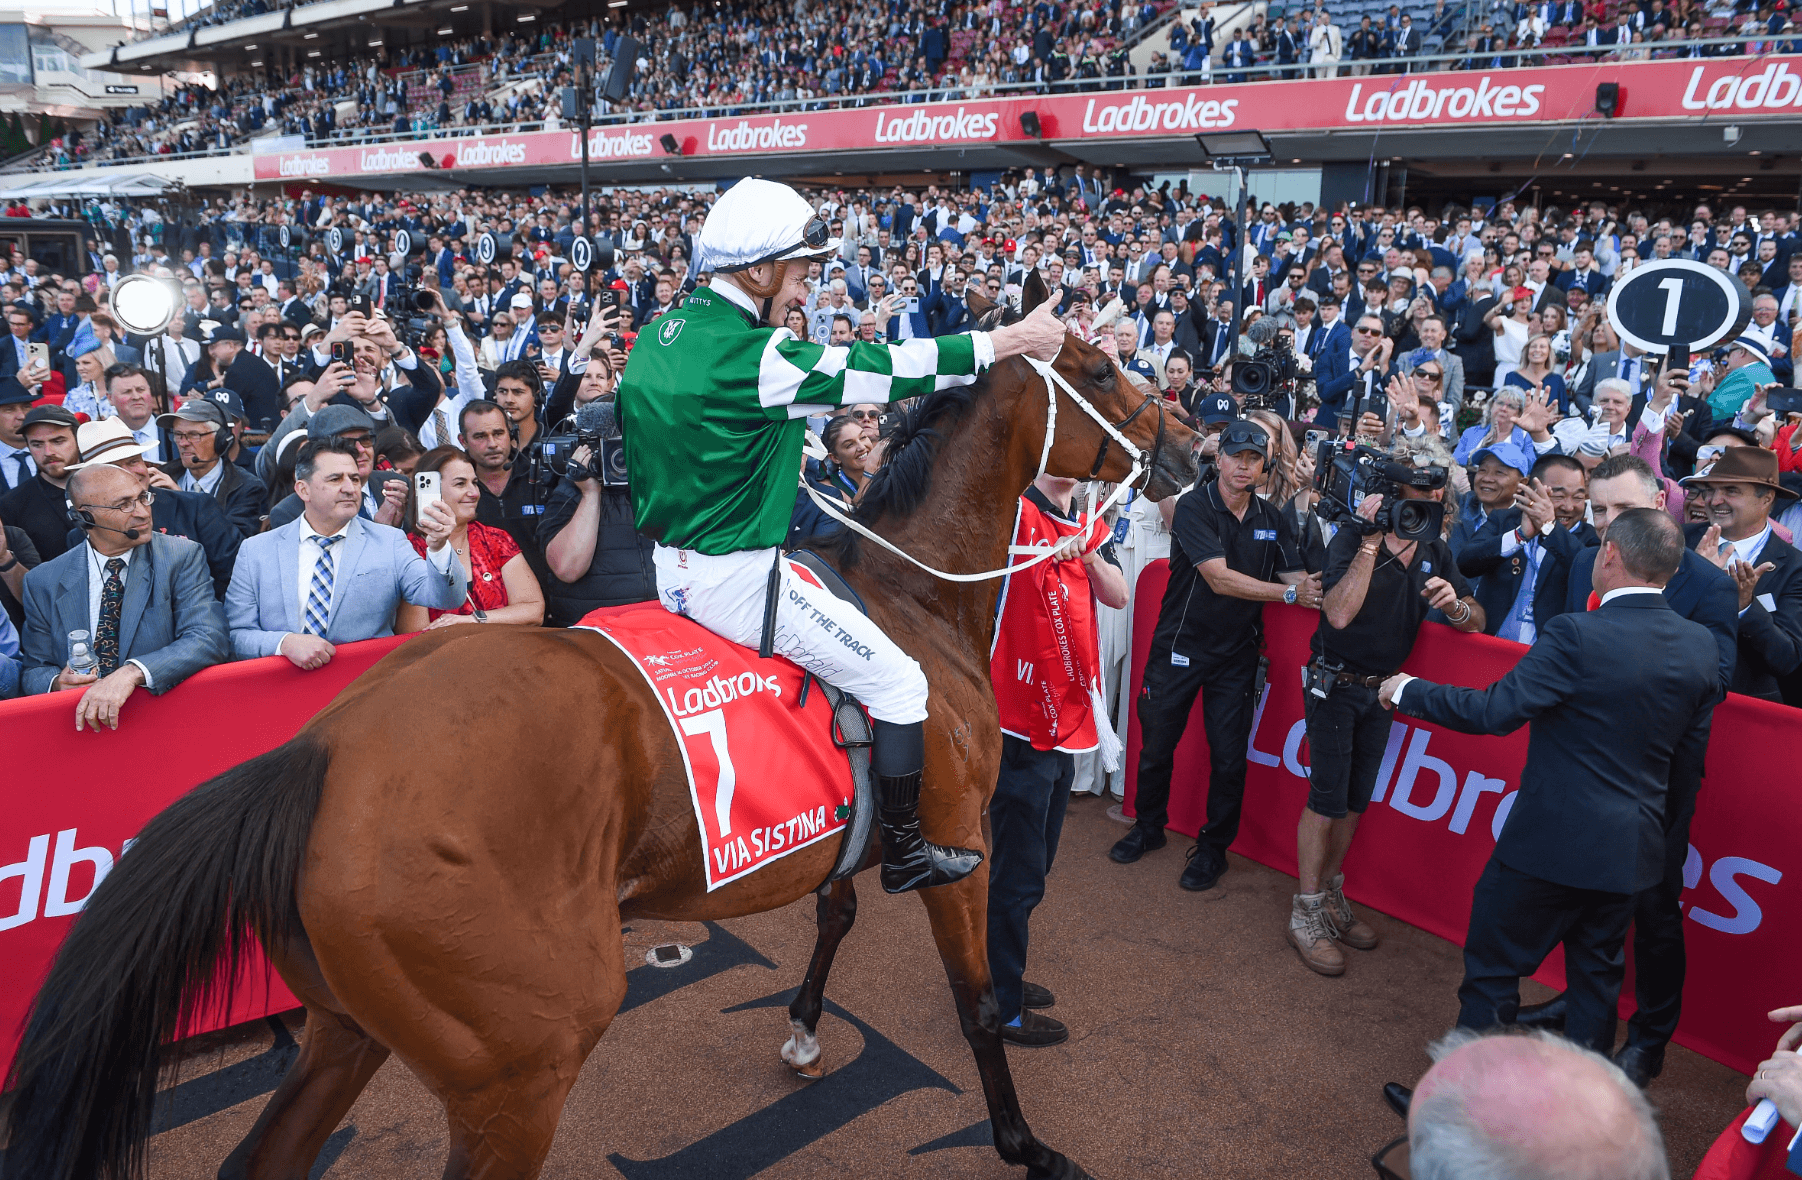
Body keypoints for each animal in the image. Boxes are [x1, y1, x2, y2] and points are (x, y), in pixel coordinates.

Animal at [2, 275, 1199, 1180]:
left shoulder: (846, 820)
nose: (1189, 444)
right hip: (520, 1062)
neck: (909, 593)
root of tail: (315, 754)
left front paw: (806, 1024)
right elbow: (975, 1001)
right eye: (1099, 371)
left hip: (349, 1031)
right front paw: (1022, 1141)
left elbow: (837, 909)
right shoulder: (956, 838)